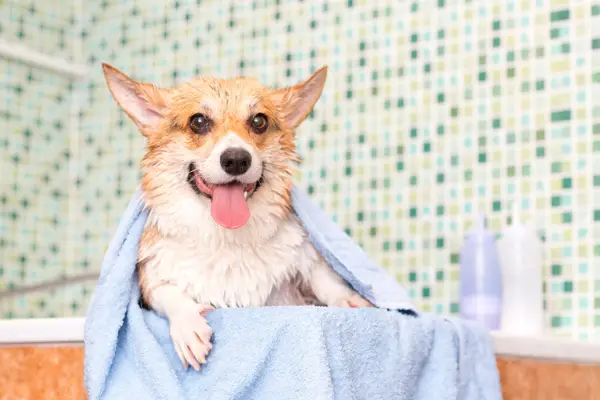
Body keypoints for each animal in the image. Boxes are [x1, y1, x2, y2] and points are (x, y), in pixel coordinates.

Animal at [103, 64, 370, 370]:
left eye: (259, 121)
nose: (236, 160)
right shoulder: (151, 279)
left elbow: (323, 276)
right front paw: (189, 326)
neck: (226, 236)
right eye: (198, 121)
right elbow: (170, 293)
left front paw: (350, 300)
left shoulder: (303, 256)